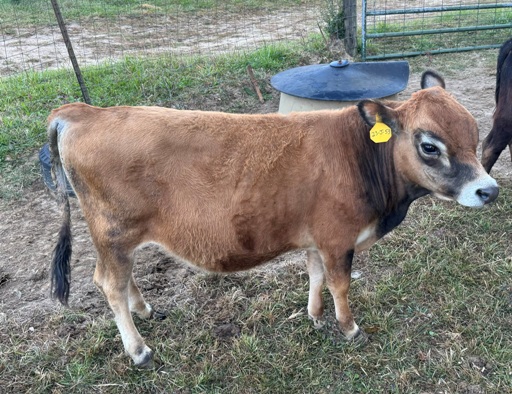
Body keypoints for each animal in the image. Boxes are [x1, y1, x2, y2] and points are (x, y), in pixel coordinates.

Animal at [48, 70, 496, 366]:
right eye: (429, 146)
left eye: (474, 131)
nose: (488, 190)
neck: (358, 155)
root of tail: (86, 112)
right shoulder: (338, 239)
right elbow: (340, 284)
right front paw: (348, 328)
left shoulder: (317, 238)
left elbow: (315, 276)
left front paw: (315, 317)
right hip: (113, 232)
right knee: (109, 284)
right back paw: (139, 350)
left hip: (119, 239)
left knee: (124, 281)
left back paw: (145, 309)